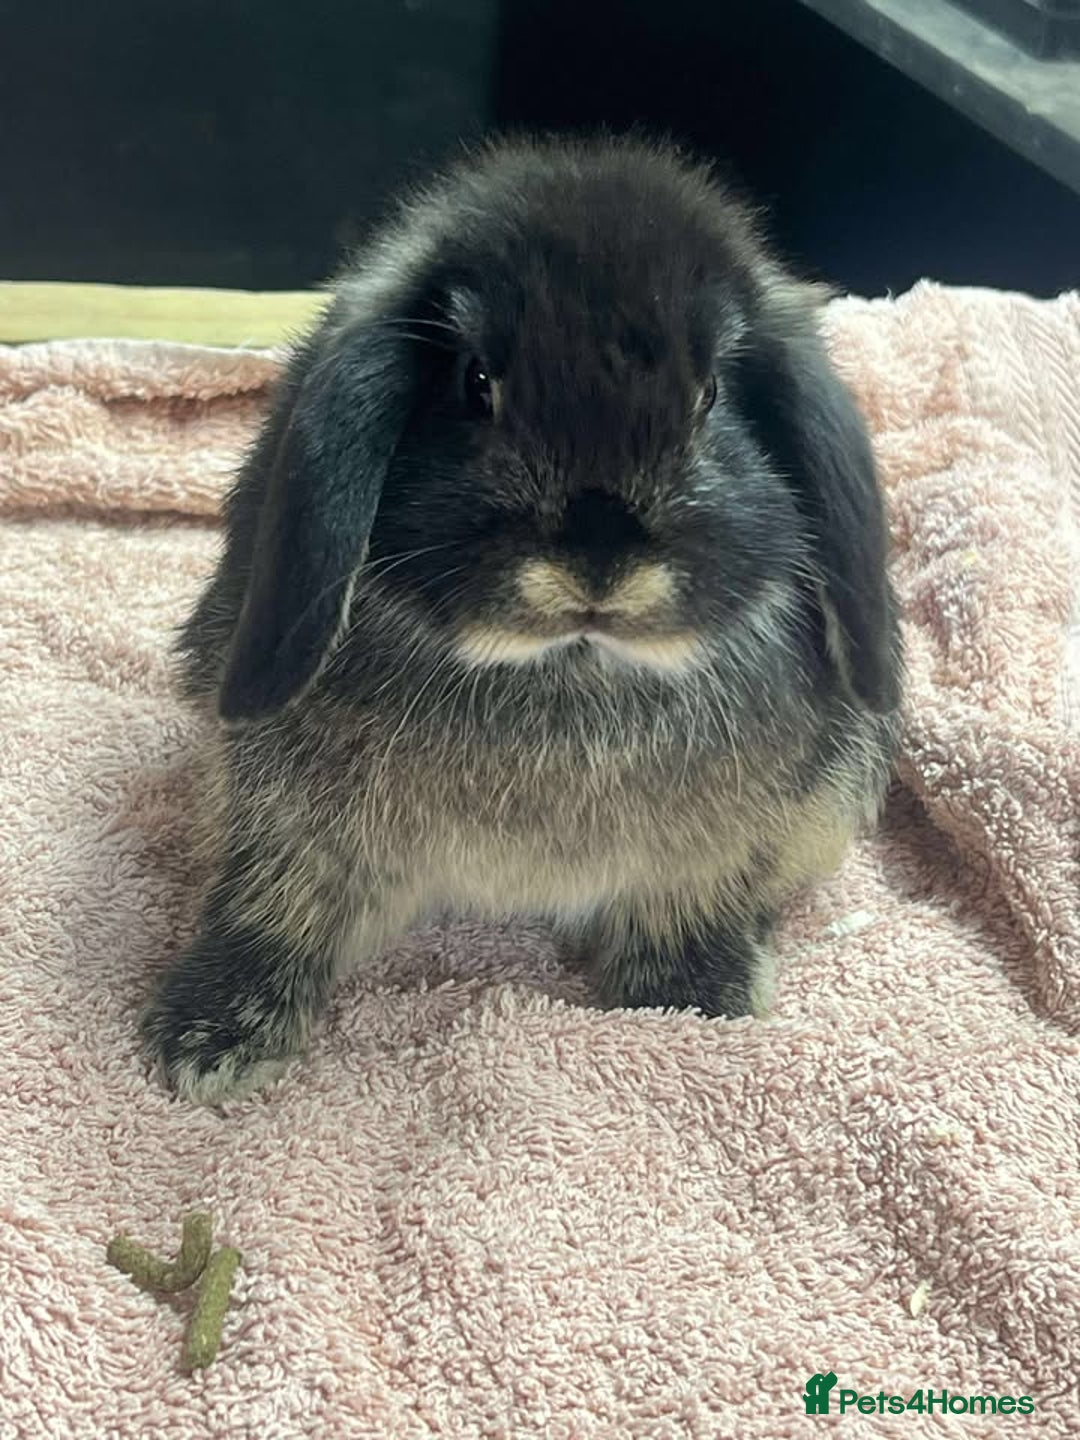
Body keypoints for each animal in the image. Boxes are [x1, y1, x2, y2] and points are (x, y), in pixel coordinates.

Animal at [144, 134, 902, 1103]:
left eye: (711, 396)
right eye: (477, 382)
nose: (598, 562)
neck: (569, 666)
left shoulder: (726, 846)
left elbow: (694, 904)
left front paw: (696, 1001)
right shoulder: (287, 821)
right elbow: (274, 908)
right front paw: (212, 1040)